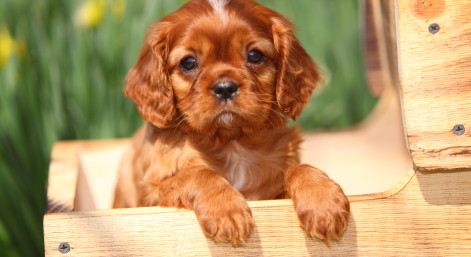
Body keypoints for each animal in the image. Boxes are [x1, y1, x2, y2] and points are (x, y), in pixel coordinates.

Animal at [114, 0, 350, 243]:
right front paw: (226, 210)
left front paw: (323, 202)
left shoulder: (270, 193)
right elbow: (197, 174)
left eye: (255, 55)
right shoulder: (150, 196)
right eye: (188, 62)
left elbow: (298, 168)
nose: (225, 88)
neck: (232, 143)